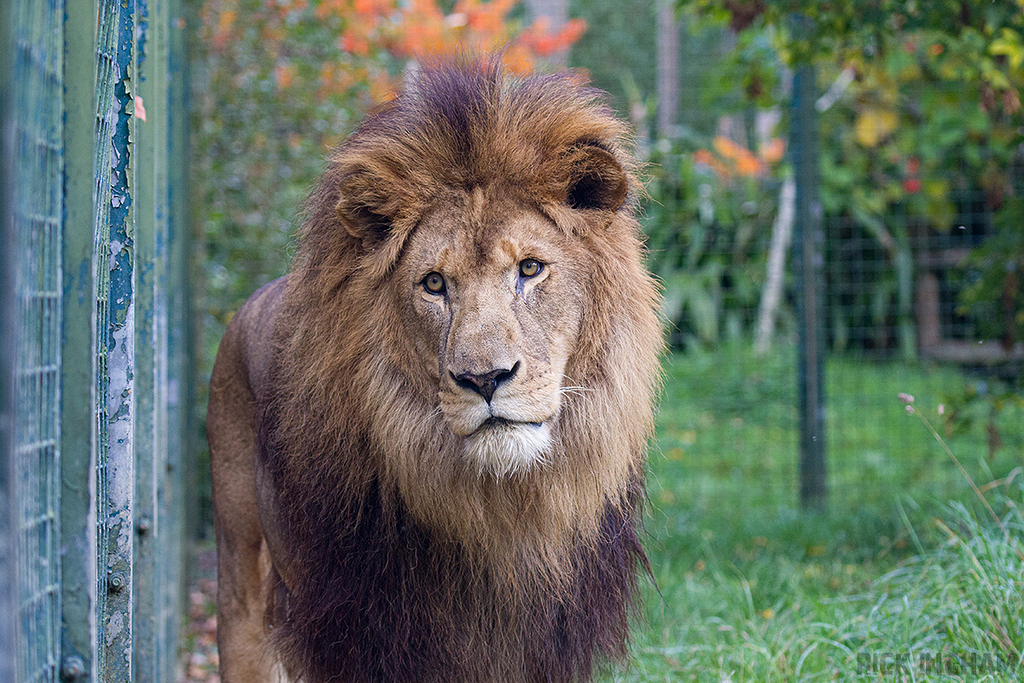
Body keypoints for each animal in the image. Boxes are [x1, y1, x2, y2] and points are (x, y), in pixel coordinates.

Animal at [207, 57, 662, 683]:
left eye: (530, 269)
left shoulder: (543, 644)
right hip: (242, 581)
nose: (485, 379)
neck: (503, 512)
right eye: (433, 283)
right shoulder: (364, 639)